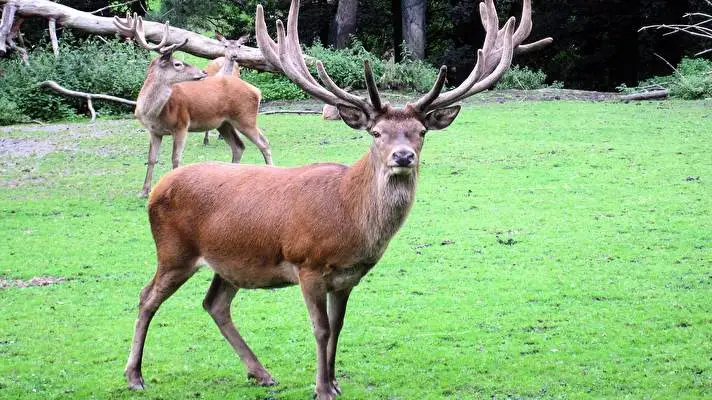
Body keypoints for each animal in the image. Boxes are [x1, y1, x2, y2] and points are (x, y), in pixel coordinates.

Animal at [113, 14, 273, 198]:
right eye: (178, 64)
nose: (203, 72)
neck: (153, 113)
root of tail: (257, 91)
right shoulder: (154, 131)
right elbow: (151, 159)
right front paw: (144, 192)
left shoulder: (182, 124)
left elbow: (175, 158)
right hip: (224, 123)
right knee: (238, 146)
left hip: (245, 117)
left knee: (264, 143)